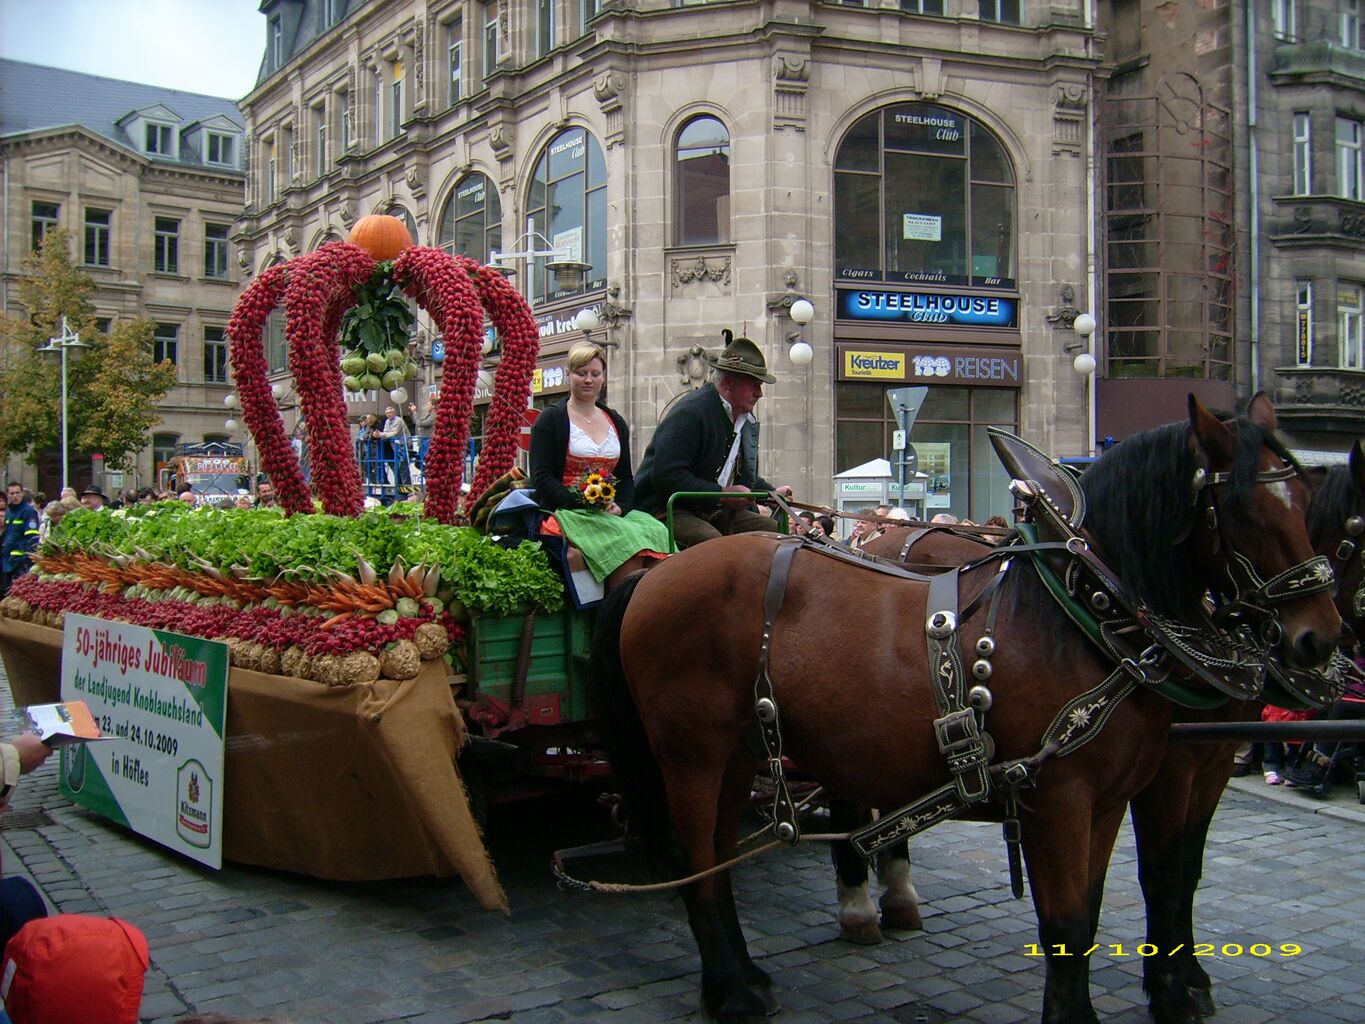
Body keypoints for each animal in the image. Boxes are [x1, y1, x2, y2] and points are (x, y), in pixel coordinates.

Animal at [590, 395, 1341, 1024]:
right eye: (1243, 508)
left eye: (1309, 499)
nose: (1321, 638)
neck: (1084, 617)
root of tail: (658, 571)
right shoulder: (1065, 797)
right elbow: (1078, 917)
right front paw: (1146, 997)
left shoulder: (1120, 795)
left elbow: (1123, 898)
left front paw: (1175, 987)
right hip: (690, 751)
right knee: (697, 855)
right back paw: (736, 988)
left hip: (742, 749)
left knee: (716, 854)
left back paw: (749, 972)